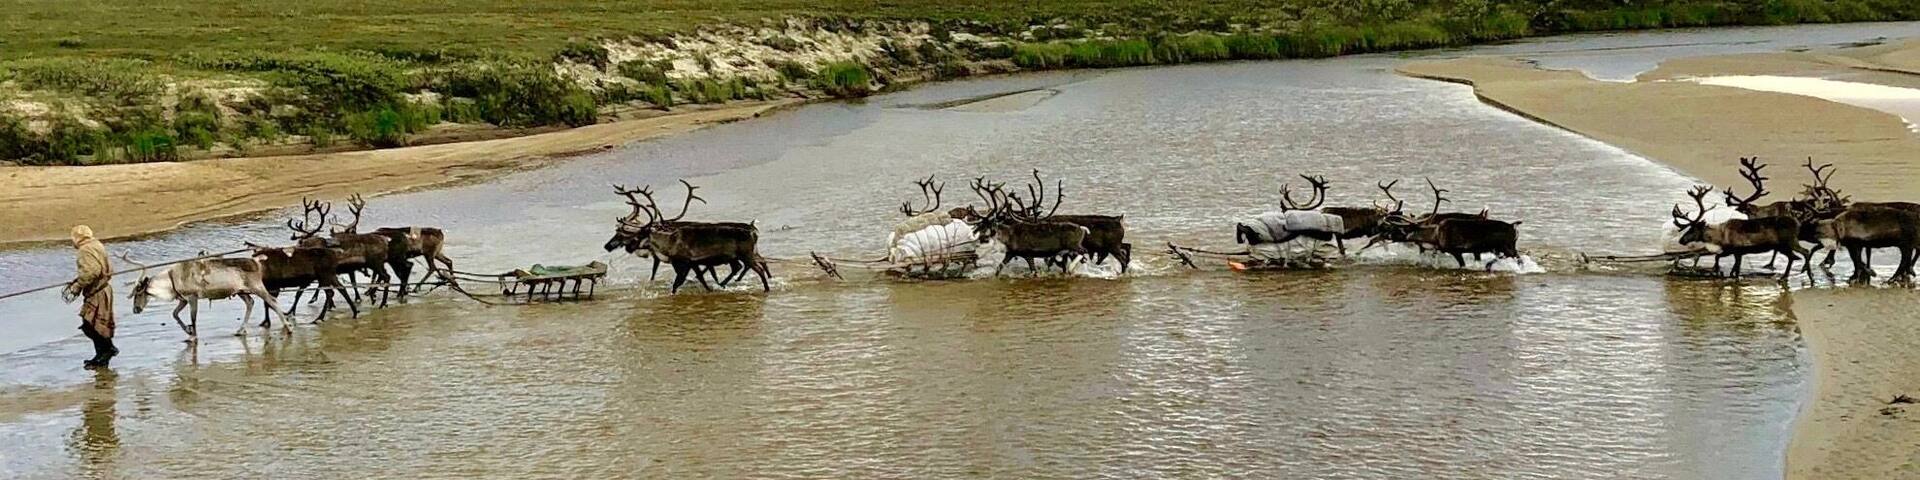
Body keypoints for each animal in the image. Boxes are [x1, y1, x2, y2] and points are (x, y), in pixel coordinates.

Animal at [123, 253, 288, 341]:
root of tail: (256, 262)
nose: (135, 309)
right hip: (241, 291)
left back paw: (288, 327)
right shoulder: (183, 299)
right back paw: (240, 330)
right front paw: (188, 331)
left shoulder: (192, 297)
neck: (170, 281)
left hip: (256, 286)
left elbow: (193, 318)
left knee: (272, 301)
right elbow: (175, 314)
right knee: (250, 302)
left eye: (139, 292)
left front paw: (193, 336)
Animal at [616, 180, 770, 293]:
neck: (668, 242)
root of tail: (753, 231)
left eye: (639, 235)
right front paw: (709, 289)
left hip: (746, 255)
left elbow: (677, 283)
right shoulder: (693, 263)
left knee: (758, 268)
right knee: (747, 266)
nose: (629, 247)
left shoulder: (682, 262)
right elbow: (701, 278)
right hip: (739, 256)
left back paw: (766, 289)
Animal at [1673, 185, 1807, 279]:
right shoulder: (1732, 251)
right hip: (1784, 246)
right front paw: (1718, 270)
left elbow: (1735, 270)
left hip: (1787, 243)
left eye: (1692, 229)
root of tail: (1797, 223)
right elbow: (1720, 259)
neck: (1721, 235)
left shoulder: (1737, 251)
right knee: (1794, 256)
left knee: (1800, 254)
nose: (1681, 240)